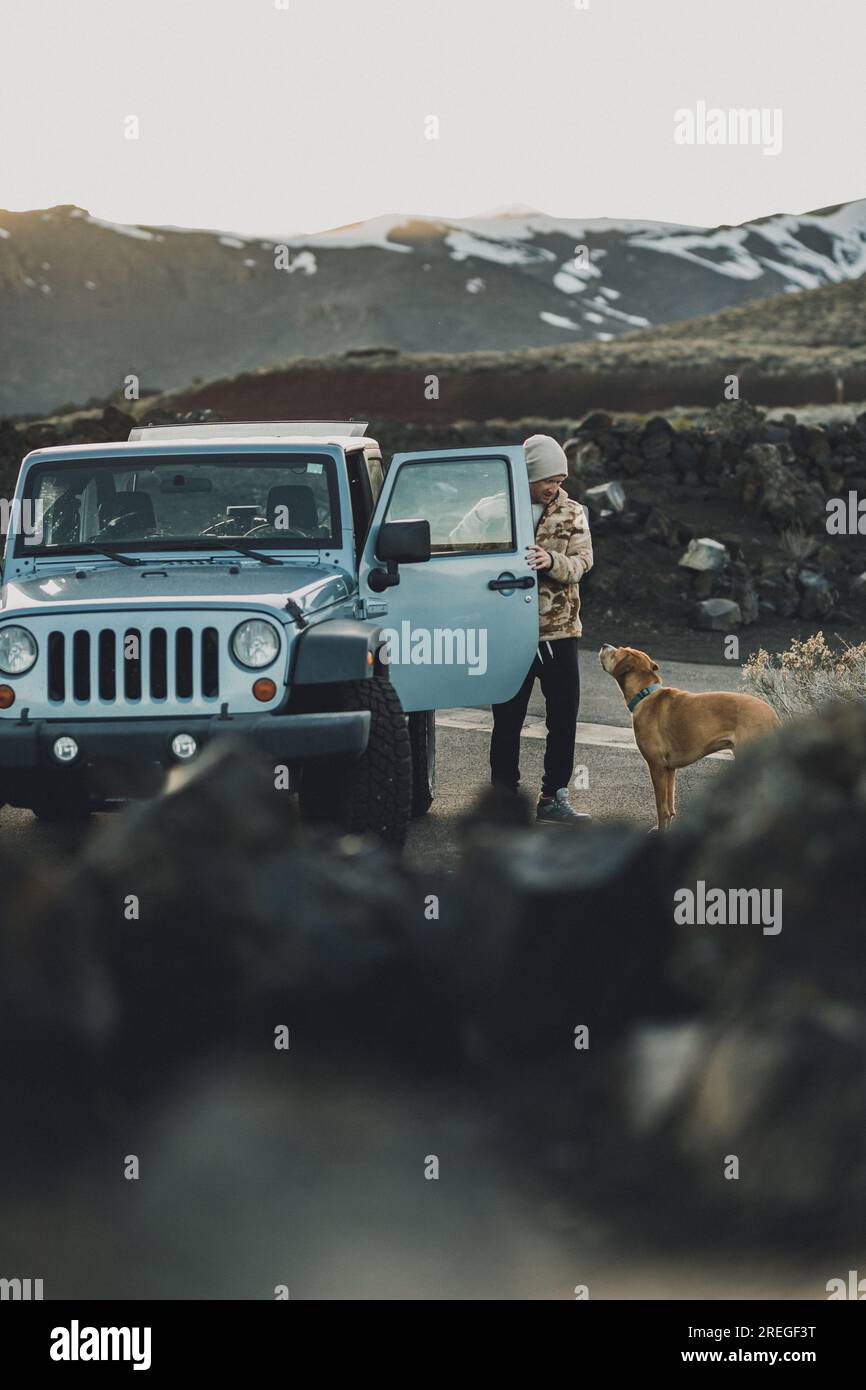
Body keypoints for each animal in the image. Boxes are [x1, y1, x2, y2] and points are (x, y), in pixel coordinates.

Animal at [603, 644, 778, 828]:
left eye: (617, 651)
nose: (604, 645)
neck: (645, 694)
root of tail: (773, 715)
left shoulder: (656, 766)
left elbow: (661, 809)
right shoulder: (669, 769)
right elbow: (670, 807)